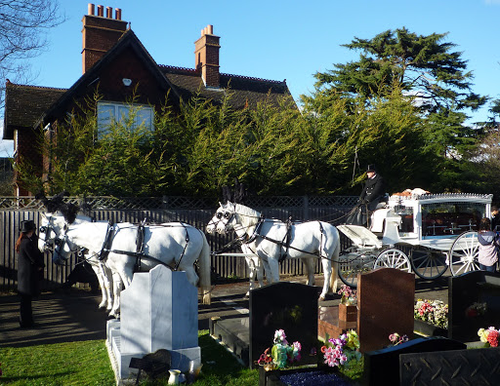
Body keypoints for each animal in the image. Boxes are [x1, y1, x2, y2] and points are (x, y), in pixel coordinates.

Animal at [39, 211, 211, 316]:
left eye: (57, 239)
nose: (54, 259)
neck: (108, 238)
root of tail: (196, 230)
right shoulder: (114, 270)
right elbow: (115, 289)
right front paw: (114, 309)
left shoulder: (124, 270)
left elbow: (124, 288)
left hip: (186, 264)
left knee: (193, 280)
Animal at [207, 202, 340, 302]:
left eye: (222, 214)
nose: (209, 228)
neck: (260, 230)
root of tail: (333, 228)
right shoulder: (263, 259)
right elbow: (266, 277)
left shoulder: (269, 259)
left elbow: (272, 278)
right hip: (308, 255)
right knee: (311, 271)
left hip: (325, 256)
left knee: (327, 273)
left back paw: (322, 295)